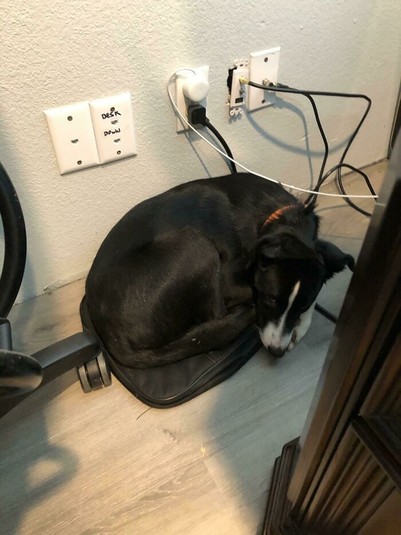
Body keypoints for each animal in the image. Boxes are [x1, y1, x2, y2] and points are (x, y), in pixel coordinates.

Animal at [85, 172, 354, 368]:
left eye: (303, 306)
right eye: (270, 300)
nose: (276, 352)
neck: (280, 218)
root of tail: (113, 338)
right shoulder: (229, 283)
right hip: (195, 245)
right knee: (215, 316)